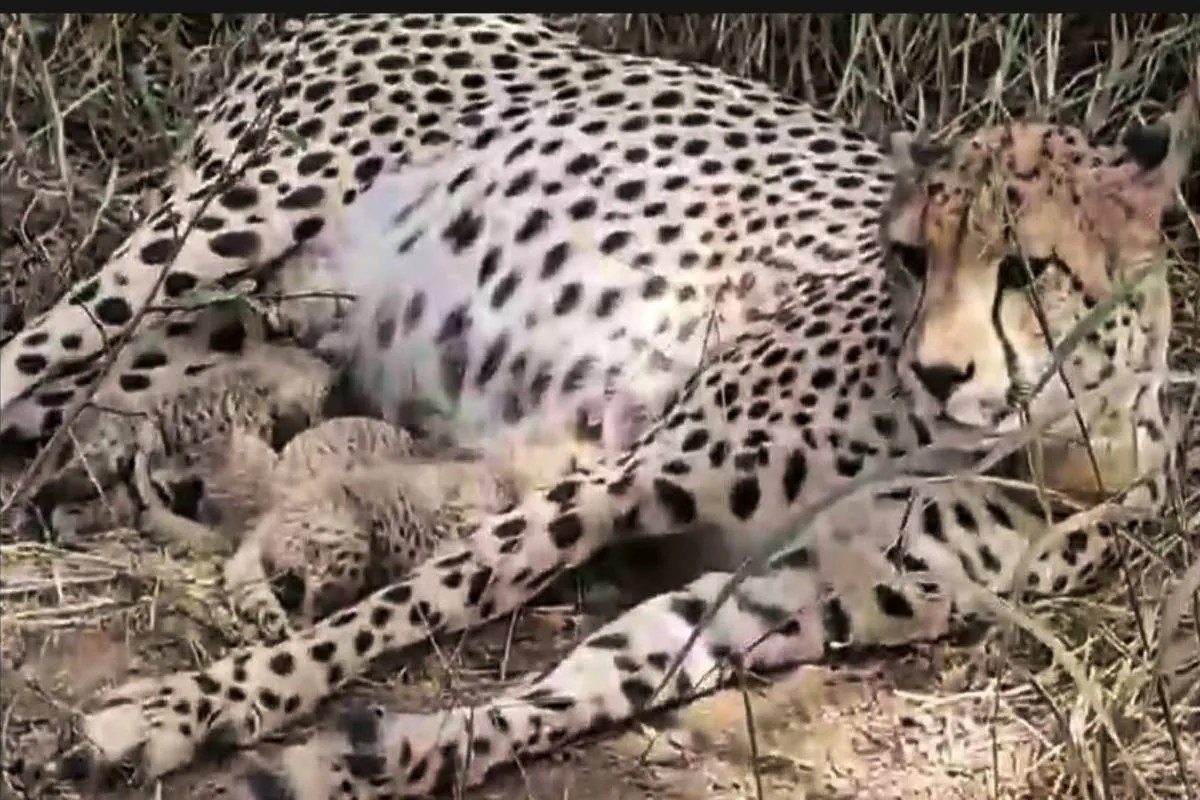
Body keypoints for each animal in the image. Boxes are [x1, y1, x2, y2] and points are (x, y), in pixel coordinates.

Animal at [0, 13, 1193, 800]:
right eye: (910, 257)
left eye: (1027, 271)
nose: (937, 373)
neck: (1041, 445)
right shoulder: (626, 478)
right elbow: (425, 599)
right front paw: (180, 712)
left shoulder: (795, 590)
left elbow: (590, 679)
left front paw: (400, 751)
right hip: (217, 225)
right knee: (25, 352)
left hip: (233, 321)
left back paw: (77, 488)